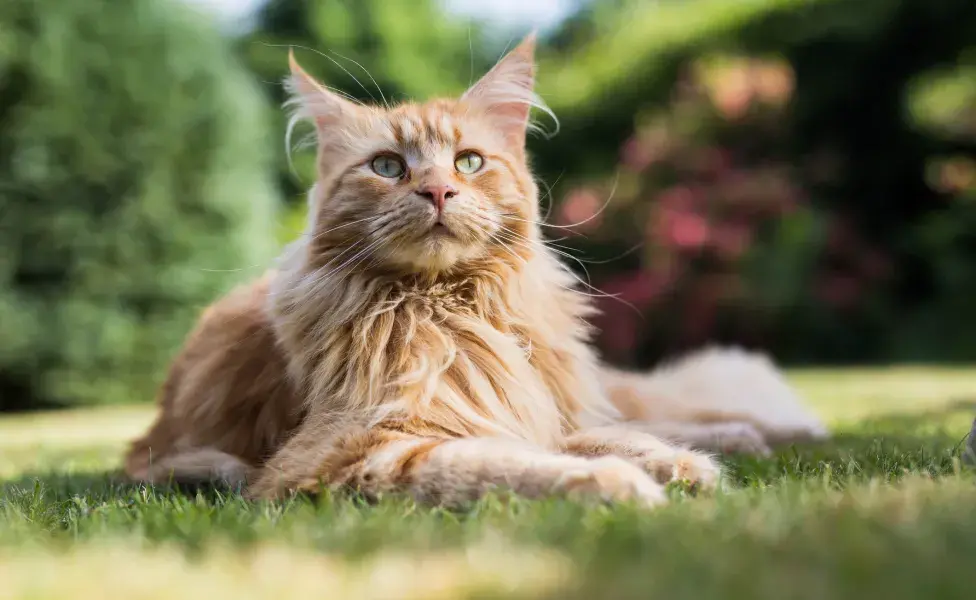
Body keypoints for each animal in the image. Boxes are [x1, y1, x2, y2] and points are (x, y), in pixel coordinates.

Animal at [120, 36, 824, 506]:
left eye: (468, 162)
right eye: (387, 167)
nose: (437, 191)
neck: (451, 309)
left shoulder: (524, 403)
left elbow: (596, 439)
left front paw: (680, 466)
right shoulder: (348, 455)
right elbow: (505, 465)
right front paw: (620, 483)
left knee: (651, 409)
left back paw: (772, 432)